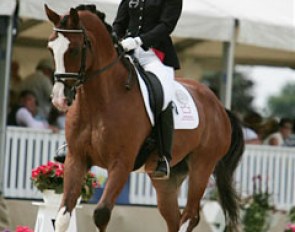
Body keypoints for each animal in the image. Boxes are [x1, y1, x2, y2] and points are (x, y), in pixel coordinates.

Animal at [45, 4, 245, 232]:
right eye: (51, 49)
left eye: (75, 49)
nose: (59, 99)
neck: (100, 102)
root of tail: (219, 106)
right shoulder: (76, 159)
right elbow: (63, 215)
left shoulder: (121, 164)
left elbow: (101, 214)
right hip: (167, 180)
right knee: (174, 218)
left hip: (202, 167)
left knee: (190, 216)